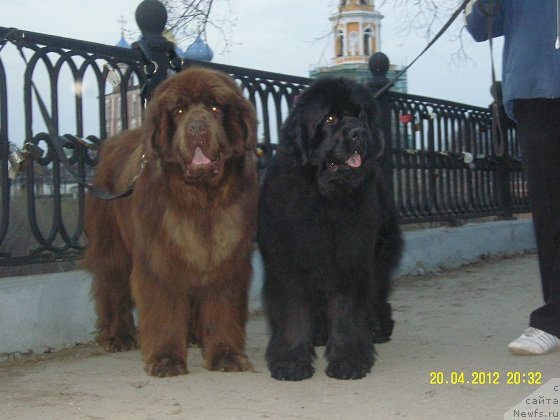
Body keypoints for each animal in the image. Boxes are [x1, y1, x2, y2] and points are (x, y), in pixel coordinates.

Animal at [83, 66, 258, 378]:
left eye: (214, 107)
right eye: (178, 110)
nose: (197, 128)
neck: (201, 199)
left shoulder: (227, 259)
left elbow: (222, 309)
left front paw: (225, 355)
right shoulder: (159, 258)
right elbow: (163, 310)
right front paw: (166, 360)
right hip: (112, 246)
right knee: (112, 288)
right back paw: (118, 336)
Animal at [258, 76, 402, 380]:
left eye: (361, 116)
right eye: (331, 118)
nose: (359, 133)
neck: (325, 199)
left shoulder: (351, 259)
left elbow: (347, 312)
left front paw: (349, 360)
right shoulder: (289, 262)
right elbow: (293, 313)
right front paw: (291, 361)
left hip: (379, 252)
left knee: (377, 294)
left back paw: (378, 329)